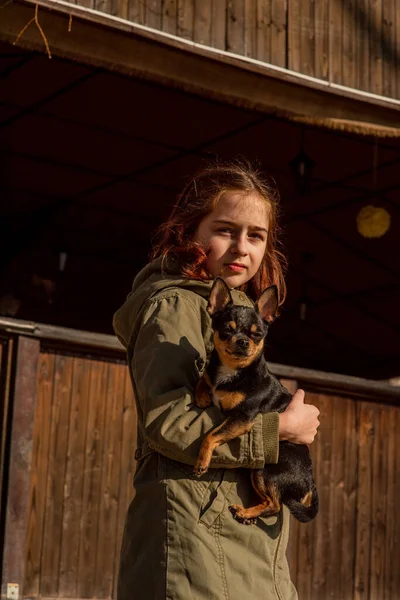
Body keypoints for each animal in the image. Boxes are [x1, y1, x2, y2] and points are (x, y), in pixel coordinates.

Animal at [194, 278, 318, 524]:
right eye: (226, 331)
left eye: (257, 335)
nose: (242, 341)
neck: (232, 371)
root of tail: (309, 486)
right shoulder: (213, 379)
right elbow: (205, 380)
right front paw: (202, 396)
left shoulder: (242, 417)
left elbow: (211, 435)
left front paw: (202, 462)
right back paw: (249, 513)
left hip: (266, 468)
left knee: (275, 505)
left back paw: (245, 512)